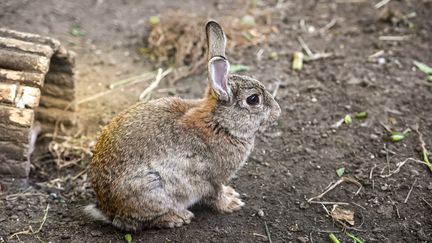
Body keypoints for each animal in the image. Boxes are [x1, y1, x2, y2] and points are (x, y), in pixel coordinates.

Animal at [85, 20, 280, 230]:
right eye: (253, 99)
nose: (278, 111)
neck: (219, 124)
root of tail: (107, 209)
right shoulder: (210, 178)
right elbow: (215, 195)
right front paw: (231, 203)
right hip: (152, 187)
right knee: (135, 222)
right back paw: (177, 217)